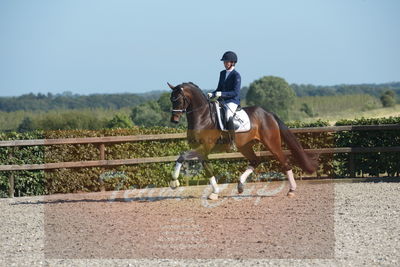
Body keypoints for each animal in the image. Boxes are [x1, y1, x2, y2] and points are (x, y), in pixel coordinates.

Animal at [167, 82, 318, 200]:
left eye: (178, 99)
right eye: (171, 99)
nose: (174, 120)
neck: (203, 117)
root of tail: (268, 113)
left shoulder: (204, 147)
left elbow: (182, 155)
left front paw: (174, 182)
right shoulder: (202, 151)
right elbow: (208, 170)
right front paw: (215, 193)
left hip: (271, 143)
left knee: (284, 162)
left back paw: (291, 190)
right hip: (245, 146)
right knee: (255, 161)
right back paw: (240, 185)